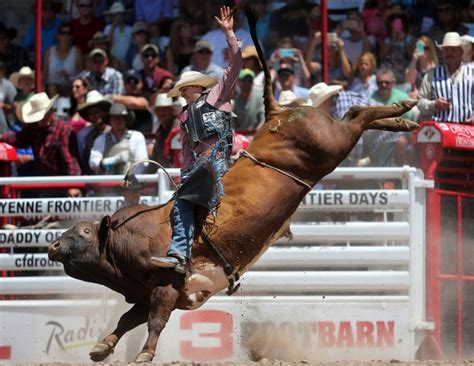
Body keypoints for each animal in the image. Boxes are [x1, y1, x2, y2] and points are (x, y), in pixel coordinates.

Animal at [46, 2, 416, 364]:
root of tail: (276, 113)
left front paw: (145, 353)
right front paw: (102, 346)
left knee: (356, 117)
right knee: (355, 116)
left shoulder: (167, 283)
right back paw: (402, 119)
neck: (123, 241)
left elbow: (155, 320)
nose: (53, 246)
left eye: (82, 232)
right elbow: (126, 319)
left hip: (332, 143)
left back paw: (403, 109)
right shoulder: (148, 292)